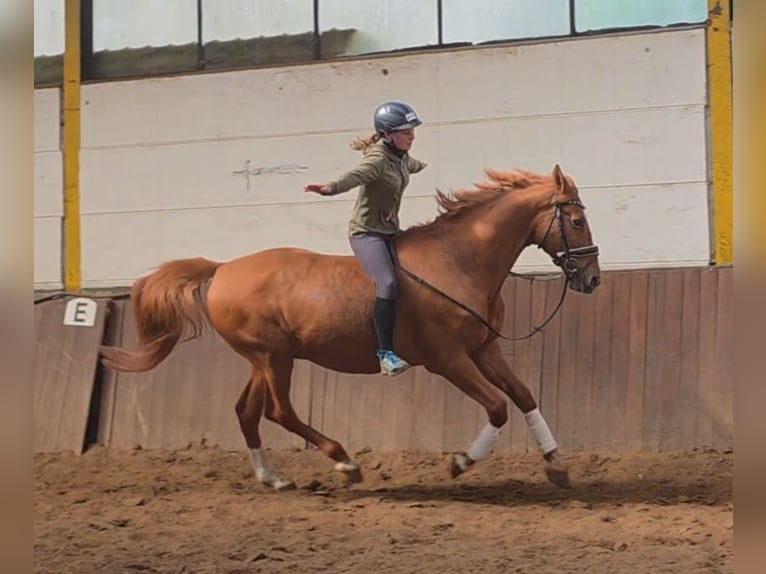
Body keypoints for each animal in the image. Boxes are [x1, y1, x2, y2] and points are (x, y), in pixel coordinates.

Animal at [98, 164, 601, 491]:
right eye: (576, 220)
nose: (592, 279)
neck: (458, 261)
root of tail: (221, 269)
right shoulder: (448, 360)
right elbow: (497, 407)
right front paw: (461, 462)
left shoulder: (484, 349)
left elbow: (524, 396)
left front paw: (556, 465)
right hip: (274, 357)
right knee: (280, 412)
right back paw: (345, 463)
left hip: (263, 359)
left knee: (247, 412)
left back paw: (274, 478)